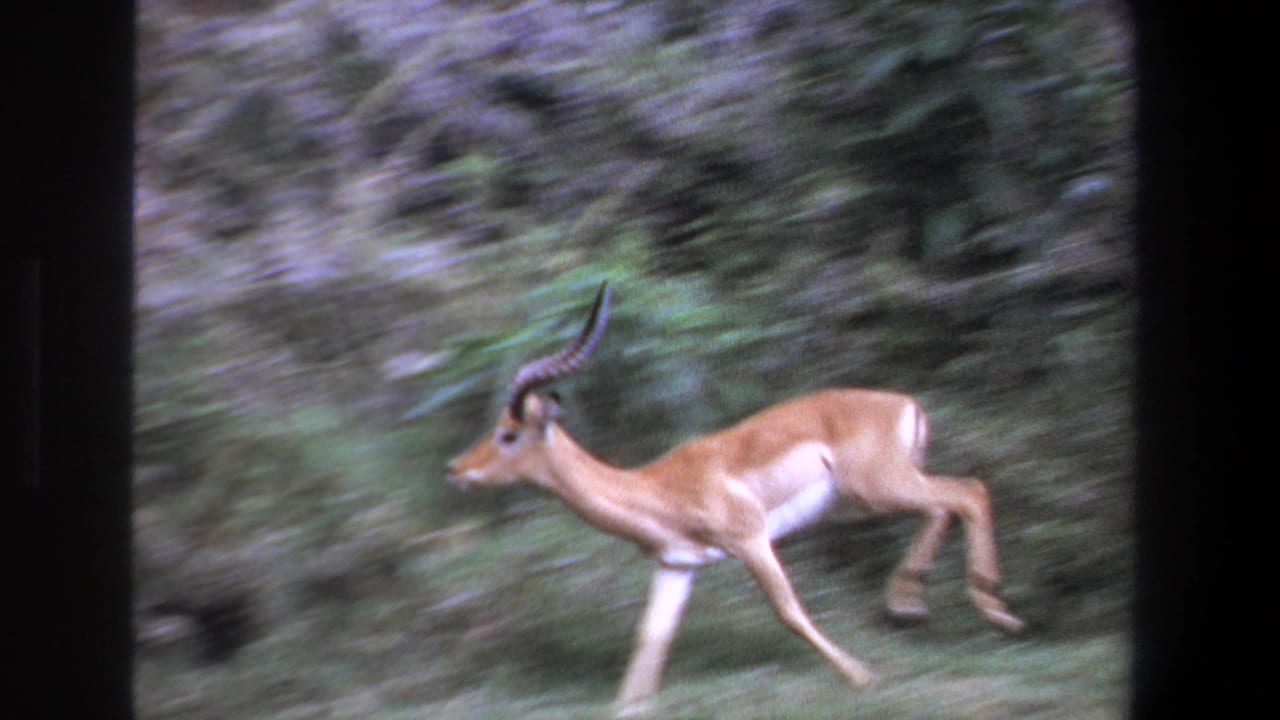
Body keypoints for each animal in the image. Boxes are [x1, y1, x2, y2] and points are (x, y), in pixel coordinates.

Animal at [446, 282, 1024, 711]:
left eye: (509, 433)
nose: (456, 469)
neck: (656, 487)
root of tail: (906, 403)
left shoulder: (750, 540)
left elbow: (789, 611)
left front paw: (862, 677)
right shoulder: (676, 565)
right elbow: (651, 639)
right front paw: (631, 704)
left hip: (878, 489)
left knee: (968, 492)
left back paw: (989, 610)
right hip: (872, 496)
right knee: (950, 500)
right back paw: (913, 603)